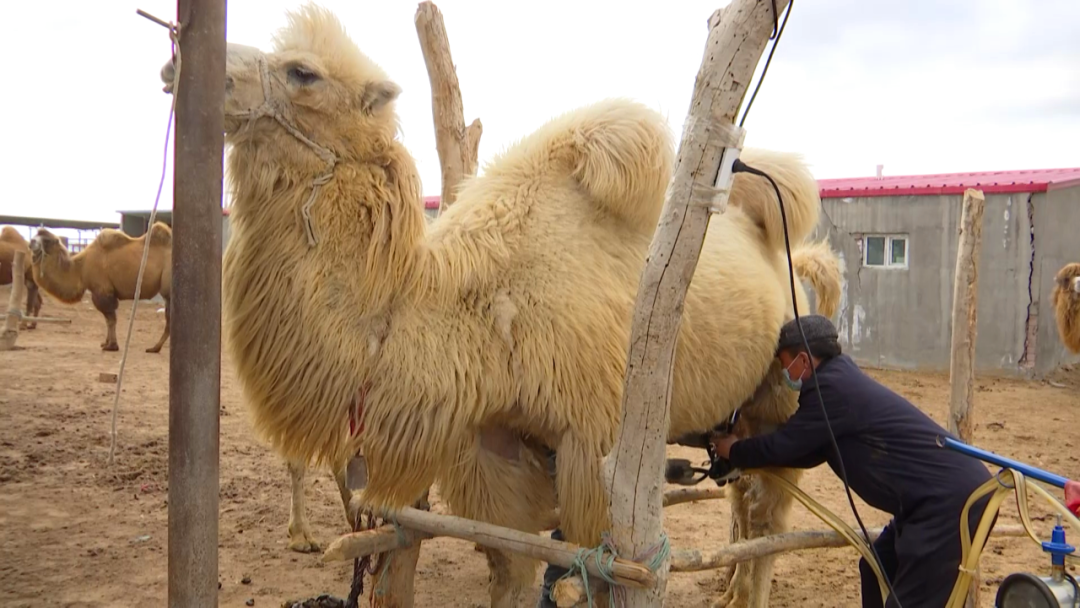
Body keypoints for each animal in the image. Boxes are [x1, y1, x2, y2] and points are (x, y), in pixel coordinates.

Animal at [28, 225, 171, 354]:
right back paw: (156, 347)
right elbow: (108, 320)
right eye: (35, 235)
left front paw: (112, 346)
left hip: (167, 287)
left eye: (46, 240)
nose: (31, 242)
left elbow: (111, 319)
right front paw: (106, 343)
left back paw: (154, 348)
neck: (81, 269)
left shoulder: (102, 291)